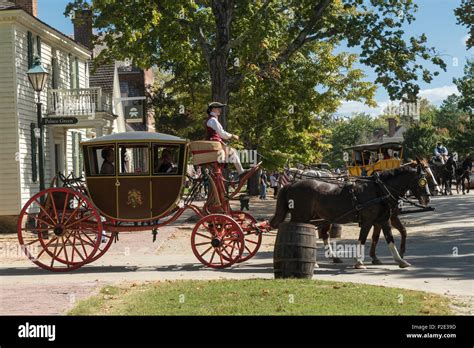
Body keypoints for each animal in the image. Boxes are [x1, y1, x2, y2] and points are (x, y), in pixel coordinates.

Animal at [270, 160, 430, 270]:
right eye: (422, 181)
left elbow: (390, 239)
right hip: (302, 217)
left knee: (322, 234)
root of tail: (291, 184)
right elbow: (362, 239)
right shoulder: (368, 221)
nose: (427, 198)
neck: (379, 189)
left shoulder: (384, 220)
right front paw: (359, 262)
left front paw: (400, 260)